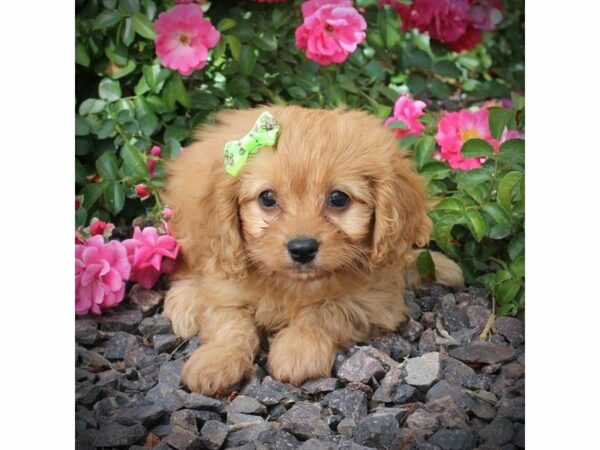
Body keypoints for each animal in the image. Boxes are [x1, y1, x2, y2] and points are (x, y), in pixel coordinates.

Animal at [161, 106, 464, 394]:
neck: (293, 284)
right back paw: (187, 303)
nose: (302, 249)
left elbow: (325, 311)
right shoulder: (226, 284)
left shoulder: (374, 298)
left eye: (338, 198)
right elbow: (230, 321)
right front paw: (216, 360)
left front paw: (297, 349)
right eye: (267, 198)